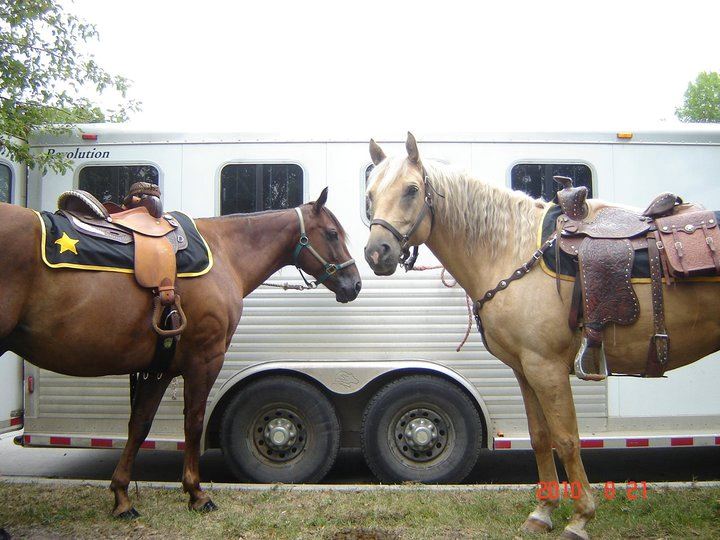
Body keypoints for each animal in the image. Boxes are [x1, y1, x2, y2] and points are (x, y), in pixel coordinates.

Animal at [0, 187, 360, 517]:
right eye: (332, 233)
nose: (354, 284)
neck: (224, 254)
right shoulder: (204, 361)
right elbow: (194, 423)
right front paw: (196, 493)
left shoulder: (159, 367)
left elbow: (140, 424)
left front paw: (122, 497)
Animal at [363, 133, 720, 539]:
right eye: (370, 194)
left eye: (411, 189)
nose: (377, 253)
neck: (510, 250)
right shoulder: (525, 369)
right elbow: (540, 436)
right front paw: (543, 511)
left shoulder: (546, 367)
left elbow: (567, 439)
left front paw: (580, 517)